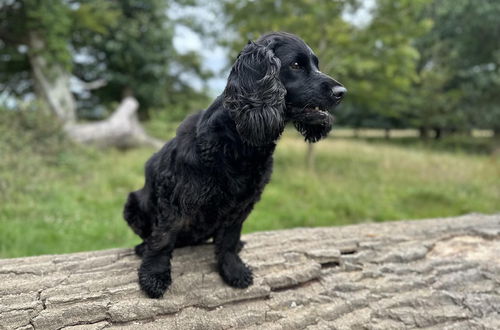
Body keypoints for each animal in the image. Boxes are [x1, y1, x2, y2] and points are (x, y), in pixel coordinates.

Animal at [123, 31, 346, 300]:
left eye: (316, 64)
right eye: (295, 65)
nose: (342, 91)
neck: (240, 143)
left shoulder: (243, 202)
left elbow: (229, 238)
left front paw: (232, 269)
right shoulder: (176, 196)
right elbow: (163, 237)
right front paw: (154, 275)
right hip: (133, 202)